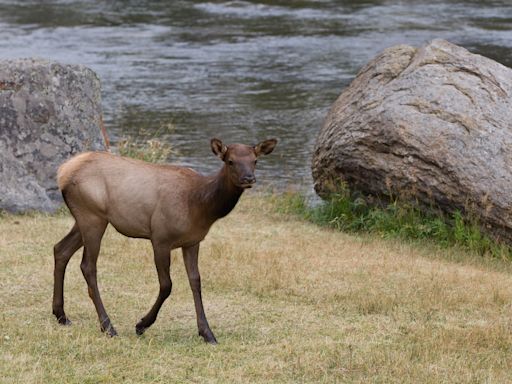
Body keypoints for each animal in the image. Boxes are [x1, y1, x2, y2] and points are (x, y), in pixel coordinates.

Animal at [52, 137, 276, 342]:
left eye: (255, 160)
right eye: (230, 161)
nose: (249, 178)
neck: (200, 206)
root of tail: (62, 172)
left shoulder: (193, 241)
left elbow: (196, 281)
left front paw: (207, 333)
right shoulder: (160, 237)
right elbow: (167, 285)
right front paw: (141, 324)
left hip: (86, 219)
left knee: (60, 249)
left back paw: (61, 315)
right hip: (92, 216)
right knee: (88, 266)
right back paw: (108, 326)